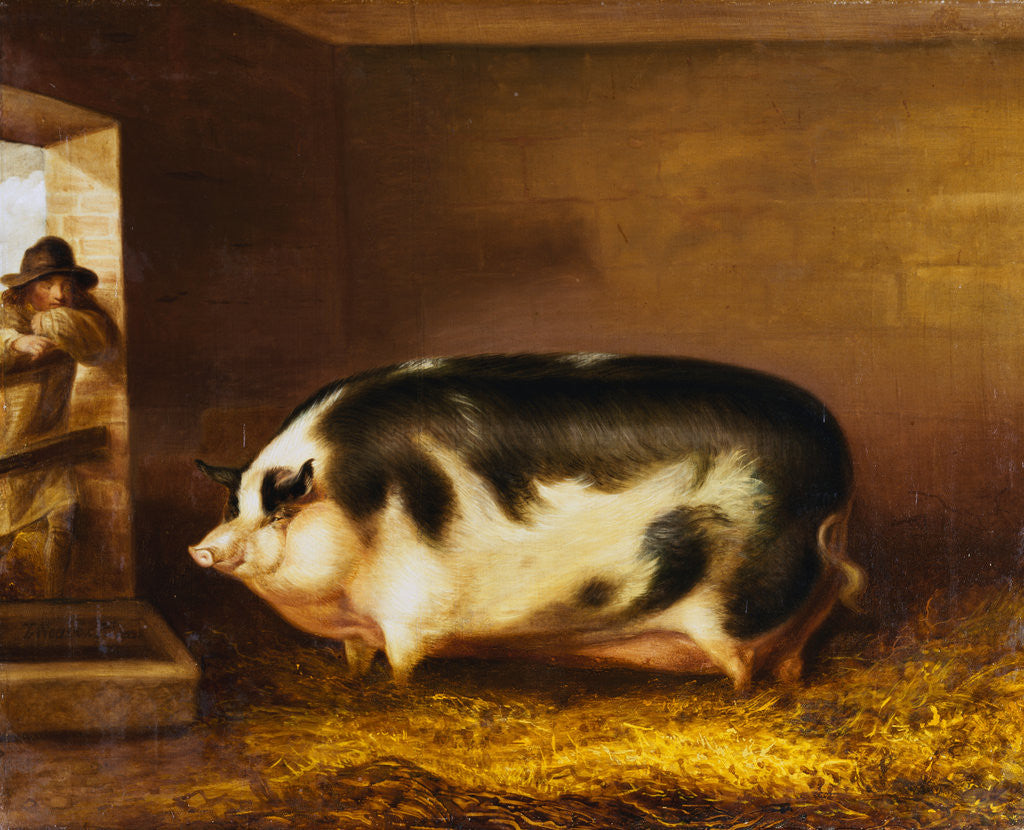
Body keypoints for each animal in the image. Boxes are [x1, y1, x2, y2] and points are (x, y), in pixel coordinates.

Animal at [191, 353, 861, 689]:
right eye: (235, 503)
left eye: (280, 508)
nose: (202, 550)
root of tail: (838, 484)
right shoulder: (359, 628)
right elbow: (358, 659)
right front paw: (356, 688)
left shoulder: (408, 607)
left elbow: (404, 665)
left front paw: (397, 696)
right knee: (792, 657)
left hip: (735, 608)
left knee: (743, 666)